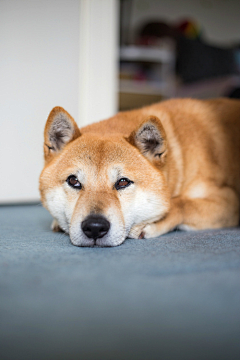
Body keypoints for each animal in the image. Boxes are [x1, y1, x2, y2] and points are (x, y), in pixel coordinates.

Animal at [39, 97, 240, 246]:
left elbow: (181, 203)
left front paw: (156, 220)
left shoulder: (229, 201)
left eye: (123, 182)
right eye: (73, 181)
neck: (179, 158)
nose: (95, 227)